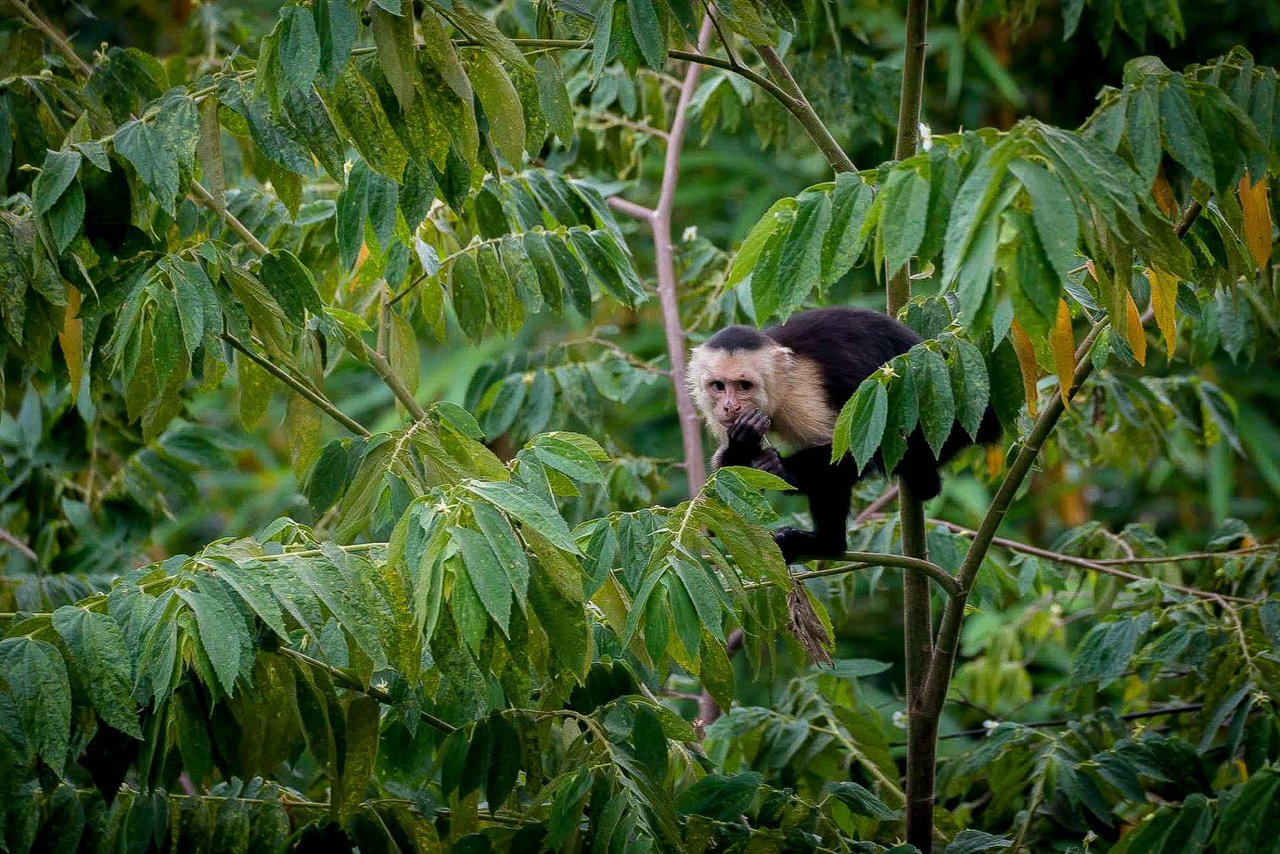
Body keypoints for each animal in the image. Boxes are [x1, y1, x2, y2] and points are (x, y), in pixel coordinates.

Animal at [691, 311, 998, 563]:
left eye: (744, 385)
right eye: (718, 386)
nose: (730, 406)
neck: (779, 391)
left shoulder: (803, 395)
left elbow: (848, 455)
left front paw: (779, 468)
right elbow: (727, 492)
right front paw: (743, 444)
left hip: (941, 413)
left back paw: (828, 544)